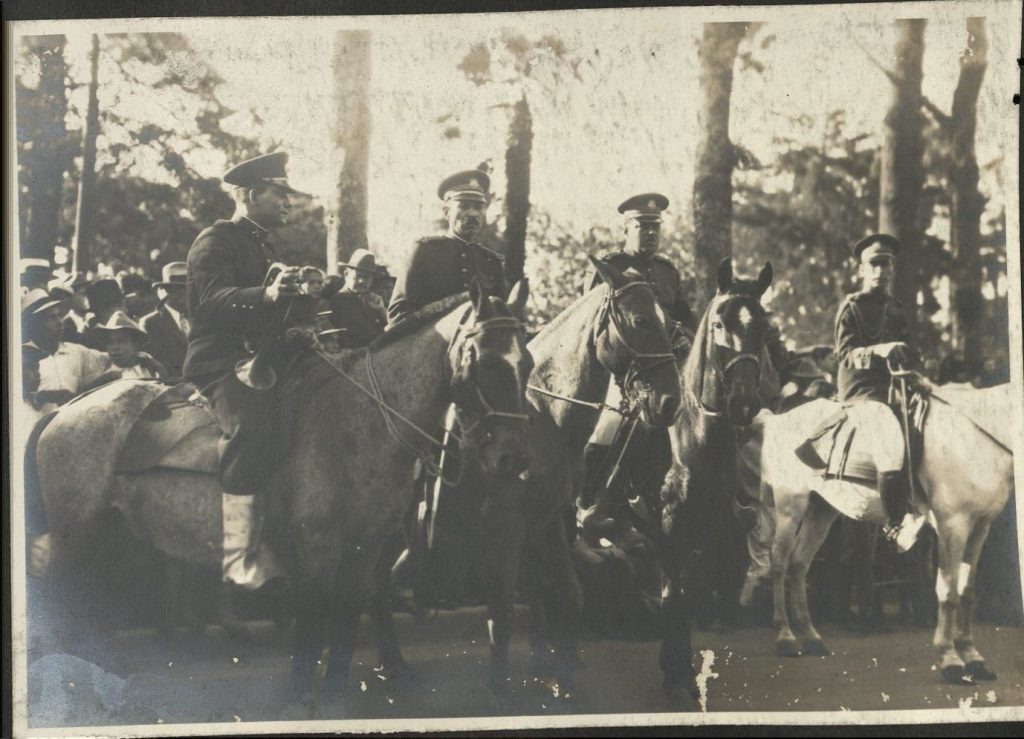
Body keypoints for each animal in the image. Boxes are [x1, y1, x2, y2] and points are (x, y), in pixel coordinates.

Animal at [36, 282, 532, 708]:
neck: (361, 418)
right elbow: (313, 626)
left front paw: (334, 697)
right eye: (485, 361)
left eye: (525, 361)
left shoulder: (366, 548)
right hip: (73, 539)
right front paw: (299, 698)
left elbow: (350, 620)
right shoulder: (318, 549)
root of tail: (67, 409)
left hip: (112, 537)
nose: (513, 457)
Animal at [761, 382, 1015, 683]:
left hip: (821, 511)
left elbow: (966, 590)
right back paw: (785, 637)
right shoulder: (953, 526)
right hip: (791, 506)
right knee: (779, 564)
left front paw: (973, 657)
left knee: (799, 564)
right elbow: (948, 591)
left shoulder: (980, 527)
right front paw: (949, 659)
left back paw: (812, 638)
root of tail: (779, 419)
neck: (974, 439)